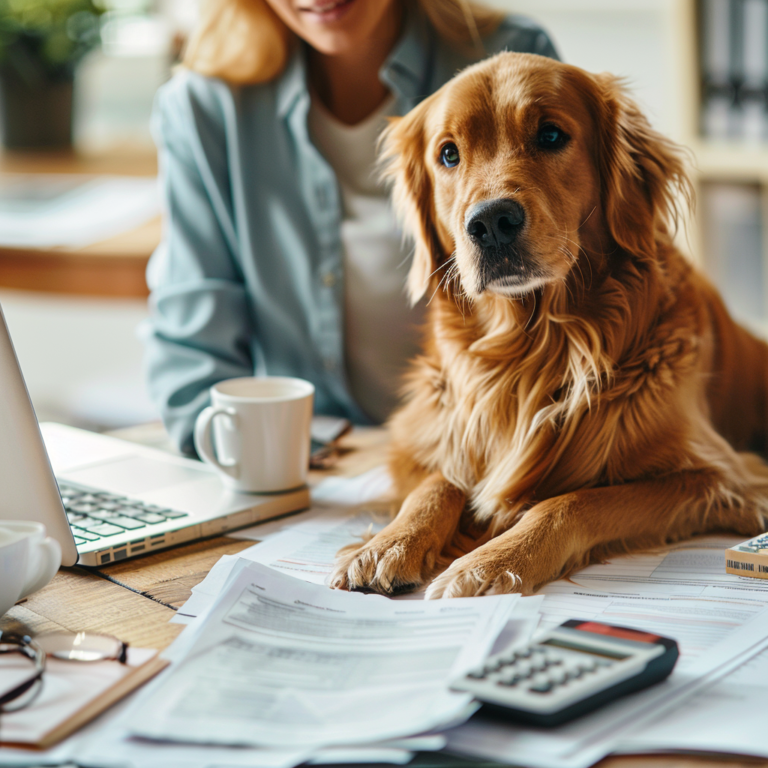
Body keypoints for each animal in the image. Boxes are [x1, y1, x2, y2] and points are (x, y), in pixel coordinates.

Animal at [328, 52, 768, 600]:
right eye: (448, 154)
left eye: (552, 135)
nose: (491, 224)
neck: (534, 346)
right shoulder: (429, 435)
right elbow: (437, 483)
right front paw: (387, 543)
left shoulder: (721, 475)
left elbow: (574, 501)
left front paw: (492, 562)